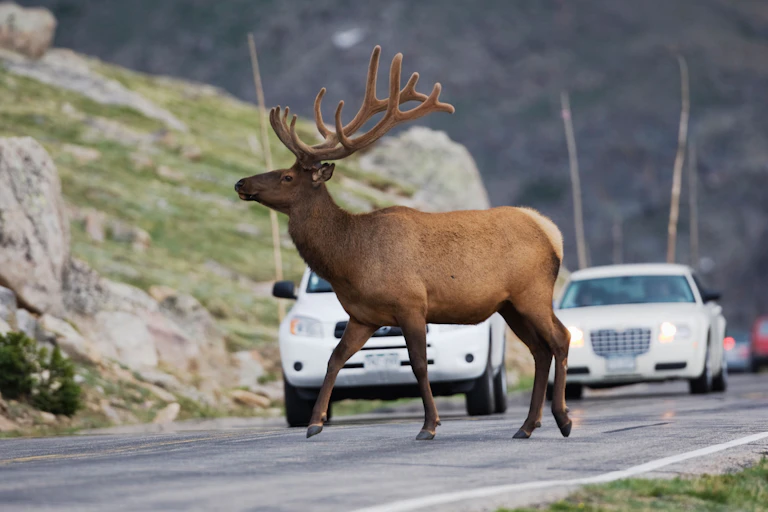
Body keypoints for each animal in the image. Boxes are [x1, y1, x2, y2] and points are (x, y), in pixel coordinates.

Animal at [235, 46, 572, 441]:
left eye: (287, 177)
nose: (241, 182)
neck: (350, 260)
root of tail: (550, 231)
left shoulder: (411, 304)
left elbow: (419, 366)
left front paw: (429, 425)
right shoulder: (363, 316)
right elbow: (334, 359)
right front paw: (314, 423)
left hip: (532, 291)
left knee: (561, 338)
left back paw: (562, 419)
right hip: (509, 305)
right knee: (539, 350)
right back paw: (527, 425)